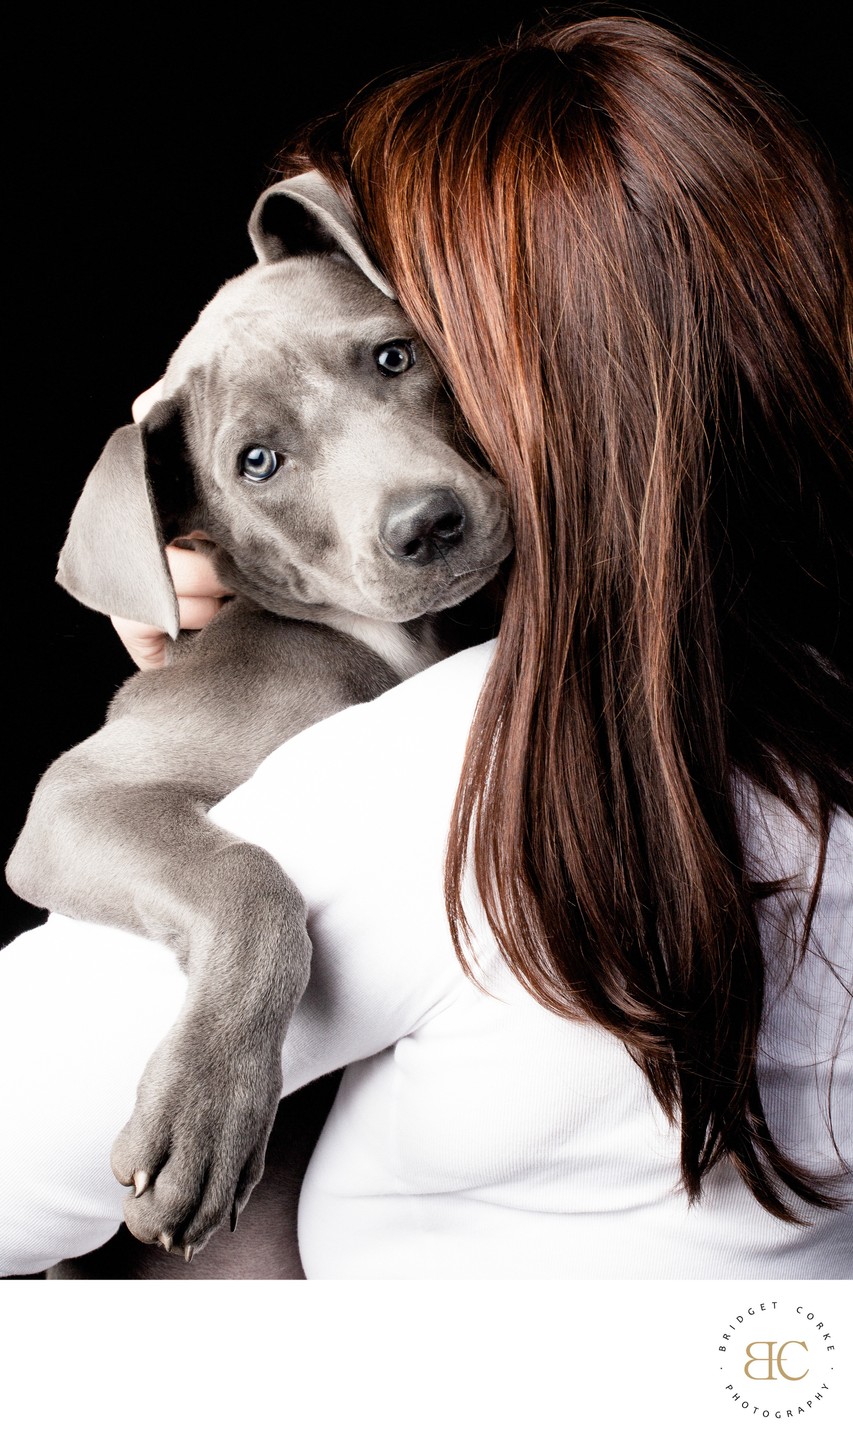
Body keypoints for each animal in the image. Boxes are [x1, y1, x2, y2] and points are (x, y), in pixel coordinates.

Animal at [6, 173, 508, 1264]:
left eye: (395, 356)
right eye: (259, 462)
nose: (427, 524)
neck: (383, 644)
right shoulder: (74, 800)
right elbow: (247, 875)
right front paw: (205, 1108)